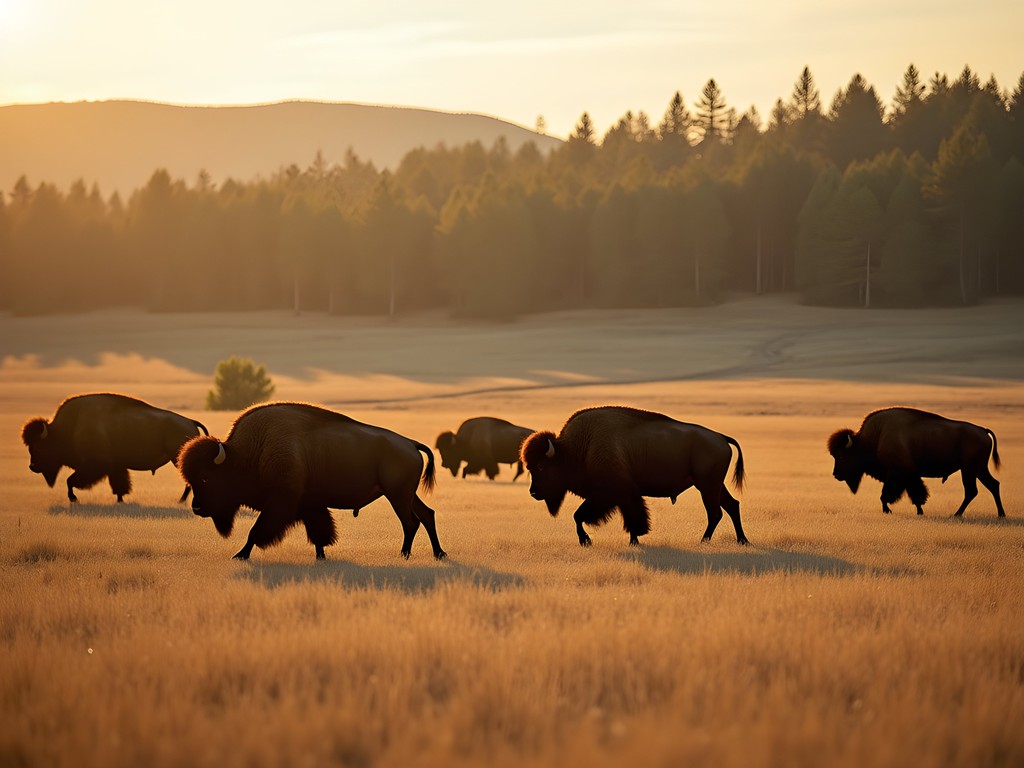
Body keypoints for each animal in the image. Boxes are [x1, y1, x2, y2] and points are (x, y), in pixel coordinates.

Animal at [21, 393, 209, 504]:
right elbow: (119, 484)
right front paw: (120, 500)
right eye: (29, 448)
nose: (32, 466)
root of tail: (190, 422)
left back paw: (181, 501)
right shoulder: (115, 466)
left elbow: (70, 480)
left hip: (177, 458)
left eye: (39, 447)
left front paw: (73, 498)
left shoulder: (95, 464)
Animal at [178, 402, 446, 561]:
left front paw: (240, 555)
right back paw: (438, 553)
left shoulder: (281, 502)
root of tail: (410, 443)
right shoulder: (311, 505)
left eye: (206, 477)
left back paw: (405, 555)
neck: (251, 452)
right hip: (407, 495)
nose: (197, 507)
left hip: (397, 496)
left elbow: (256, 531)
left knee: (411, 522)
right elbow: (319, 532)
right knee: (427, 515)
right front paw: (321, 557)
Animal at [520, 405, 748, 547]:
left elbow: (580, 515)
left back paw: (704, 541)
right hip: (714, 486)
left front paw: (587, 541)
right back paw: (742, 540)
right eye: (529, 467)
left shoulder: (610, 493)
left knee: (715, 513)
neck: (576, 448)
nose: (533, 492)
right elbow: (629, 517)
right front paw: (633, 541)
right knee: (731, 506)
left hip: (707, 486)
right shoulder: (621, 495)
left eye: (540, 466)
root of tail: (721, 438)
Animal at [828, 407, 1005, 517]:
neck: (876, 437)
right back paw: (1000, 514)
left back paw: (956, 514)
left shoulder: (898, 474)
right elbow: (916, 493)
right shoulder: (910, 475)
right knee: (993, 485)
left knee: (971, 491)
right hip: (979, 469)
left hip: (969, 469)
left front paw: (887, 510)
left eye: (842, 456)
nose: (836, 474)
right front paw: (919, 511)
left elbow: (886, 495)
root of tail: (983, 431)